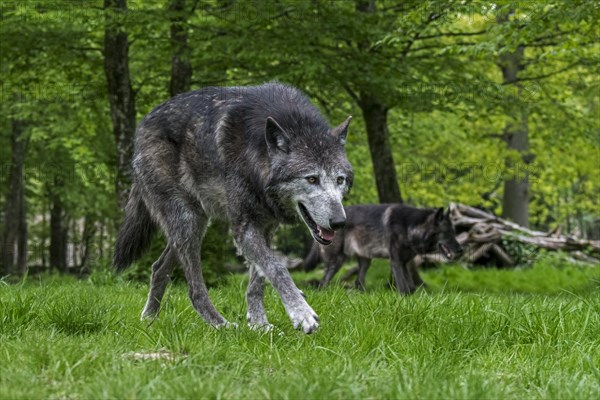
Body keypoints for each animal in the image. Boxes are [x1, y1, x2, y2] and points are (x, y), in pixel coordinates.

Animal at [113, 83, 352, 332]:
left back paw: (149, 319)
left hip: (194, 224)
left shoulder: (266, 228)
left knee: (158, 268)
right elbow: (277, 267)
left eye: (340, 180)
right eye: (312, 179)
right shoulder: (243, 229)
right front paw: (301, 313)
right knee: (194, 289)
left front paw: (259, 324)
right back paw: (220, 324)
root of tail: (142, 127)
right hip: (188, 222)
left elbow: (258, 279)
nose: (339, 222)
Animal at [304, 203, 464, 294]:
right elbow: (403, 288)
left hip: (365, 262)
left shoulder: (404, 263)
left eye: (454, 232)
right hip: (337, 261)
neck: (408, 228)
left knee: (358, 283)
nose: (460, 250)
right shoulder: (395, 262)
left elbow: (411, 288)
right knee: (323, 282)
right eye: (447, 233)